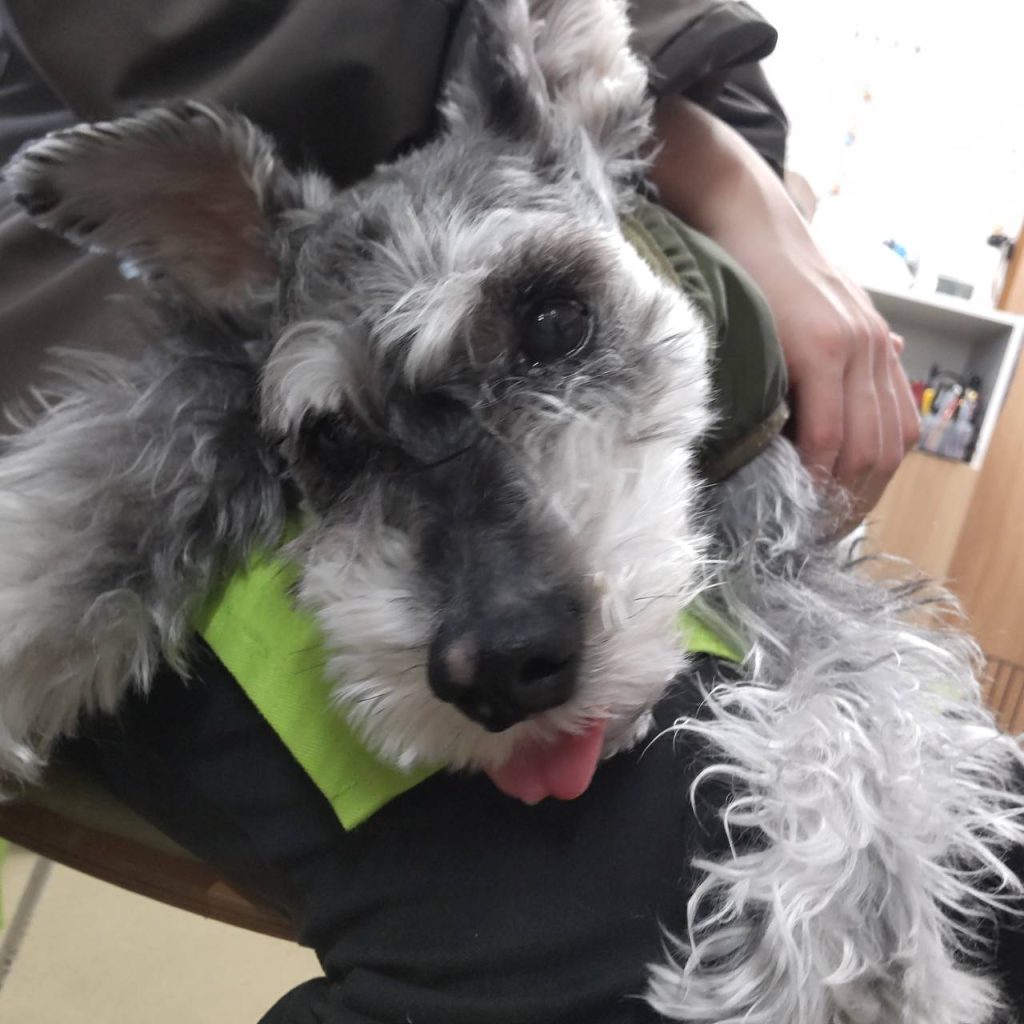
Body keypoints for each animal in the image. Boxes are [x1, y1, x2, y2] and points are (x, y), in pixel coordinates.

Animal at [1, 0, 1023, 1020]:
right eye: (330, 440)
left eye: (555, 318)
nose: (494, 667)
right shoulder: (214, 377)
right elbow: (108, 479)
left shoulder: (790, 554)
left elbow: (864, 705)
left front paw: (852, 964)